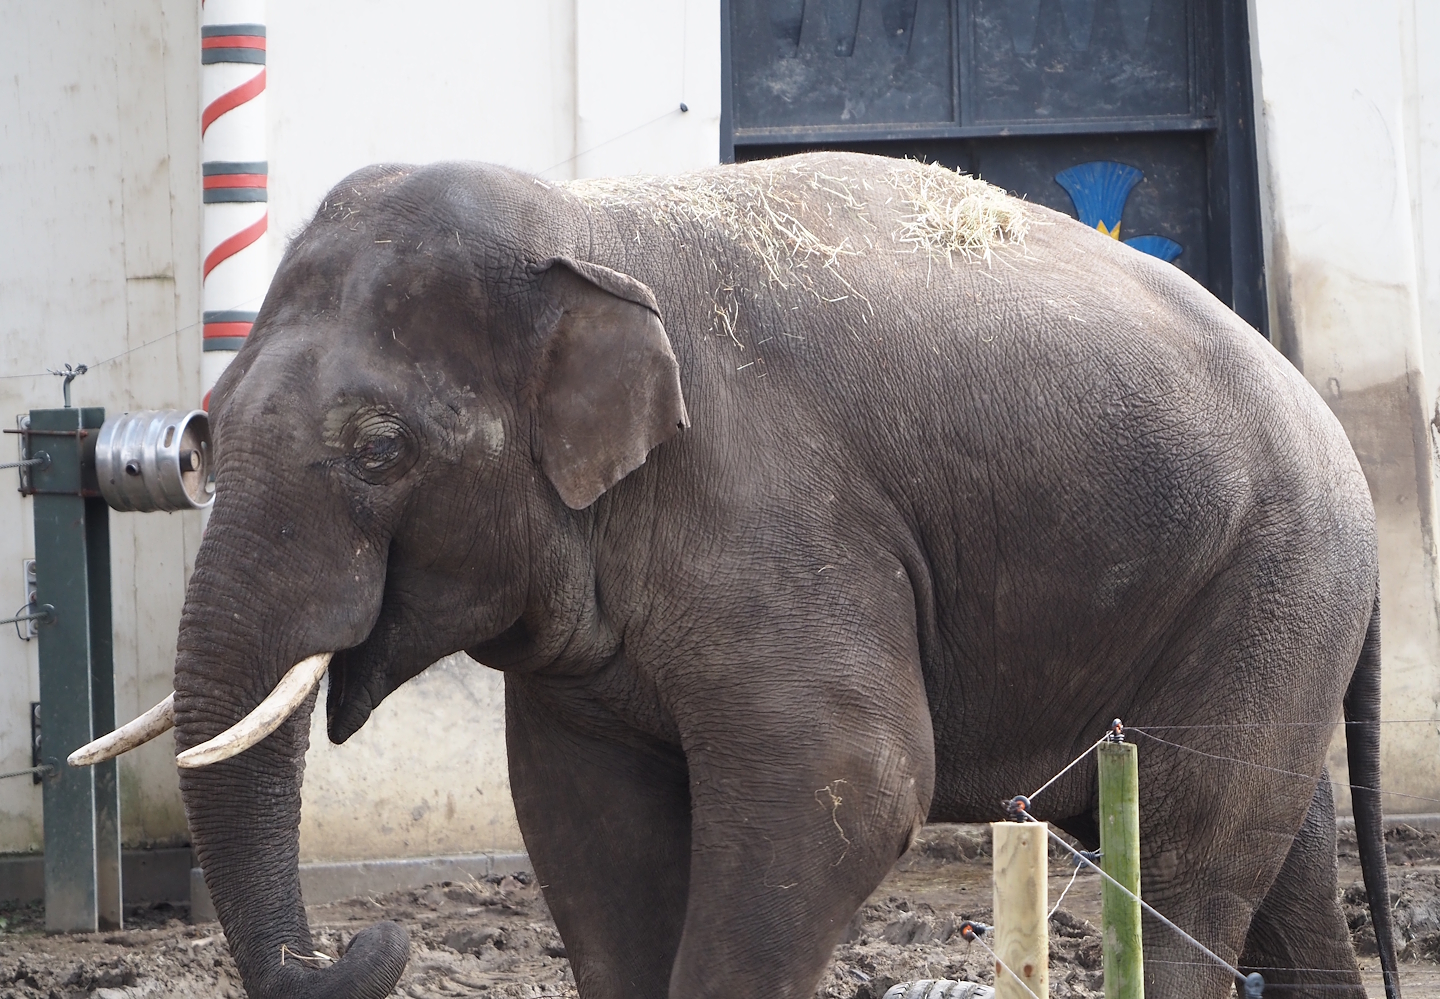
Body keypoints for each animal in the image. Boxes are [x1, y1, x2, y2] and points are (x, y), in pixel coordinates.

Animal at [73, 151, 1399, 999]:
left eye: (380, 449)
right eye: (206, 432)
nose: (366, 946)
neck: (581, 229)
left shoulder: (770, 507)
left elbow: (850, 784)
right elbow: (584, 820)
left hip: (1279, 573)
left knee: (1192, 859)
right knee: (1284, 861)